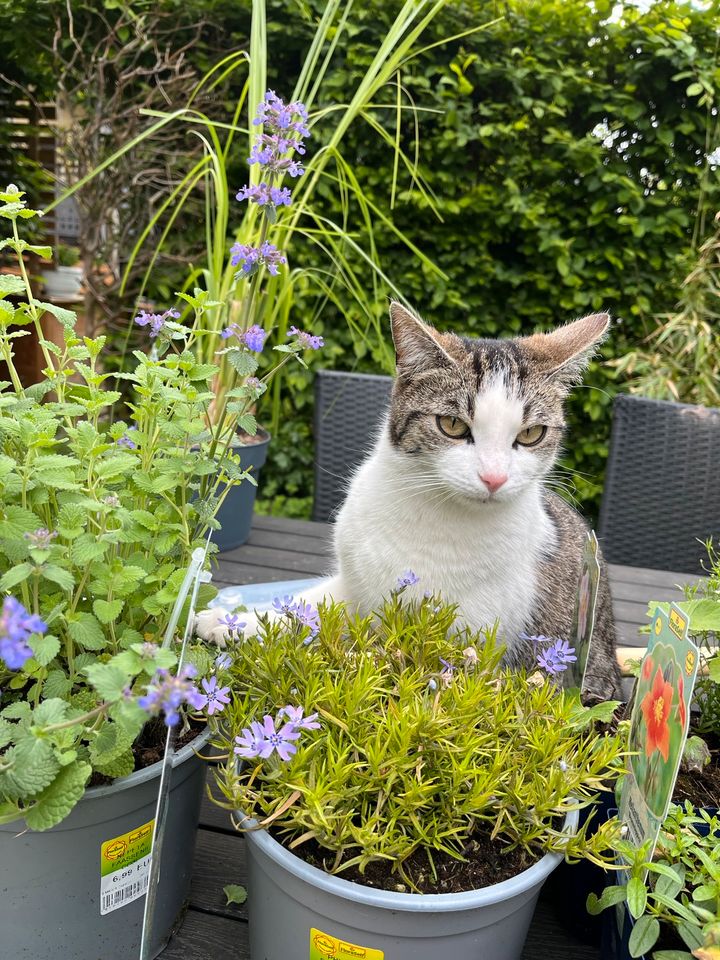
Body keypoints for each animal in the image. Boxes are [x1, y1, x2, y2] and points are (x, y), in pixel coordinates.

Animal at [198, 304, 624, 700]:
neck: (429, 510)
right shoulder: (352, 585)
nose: (494, 478)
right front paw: (228, 621)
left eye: (532, 434)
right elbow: (303, 608)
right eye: (452, 425)